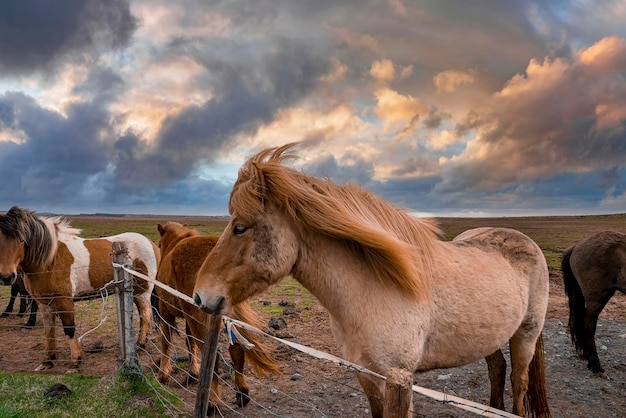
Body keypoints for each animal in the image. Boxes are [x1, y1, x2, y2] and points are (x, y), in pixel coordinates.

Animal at [0, 206, 158, 372]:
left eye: (21, 240)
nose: (6, 276)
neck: (49, 260)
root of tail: (151, 243)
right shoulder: (44, 304)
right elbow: (49, 330)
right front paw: (48, 360)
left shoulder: (65, 301)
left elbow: (69, 329)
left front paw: (76, 360)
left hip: (142, 291)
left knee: (146, 314)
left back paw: (140, 344)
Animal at [154, 220, 278, 410]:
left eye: (159, 244)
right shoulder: (189, 320)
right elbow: (189, 343)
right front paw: (192, 373)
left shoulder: (166, 312)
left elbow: (166, 342)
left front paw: (163, 375)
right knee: (236, 350)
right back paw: (242, 394)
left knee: (214, 357)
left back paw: (212, 402)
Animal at [193, 145, 548, 418]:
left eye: (240, 227)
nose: (199, 296)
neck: (375, 291)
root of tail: (528, 242)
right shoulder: (367, 375)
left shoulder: (399, 380)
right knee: (496, 369)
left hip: (525, 335)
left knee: (518, 382)